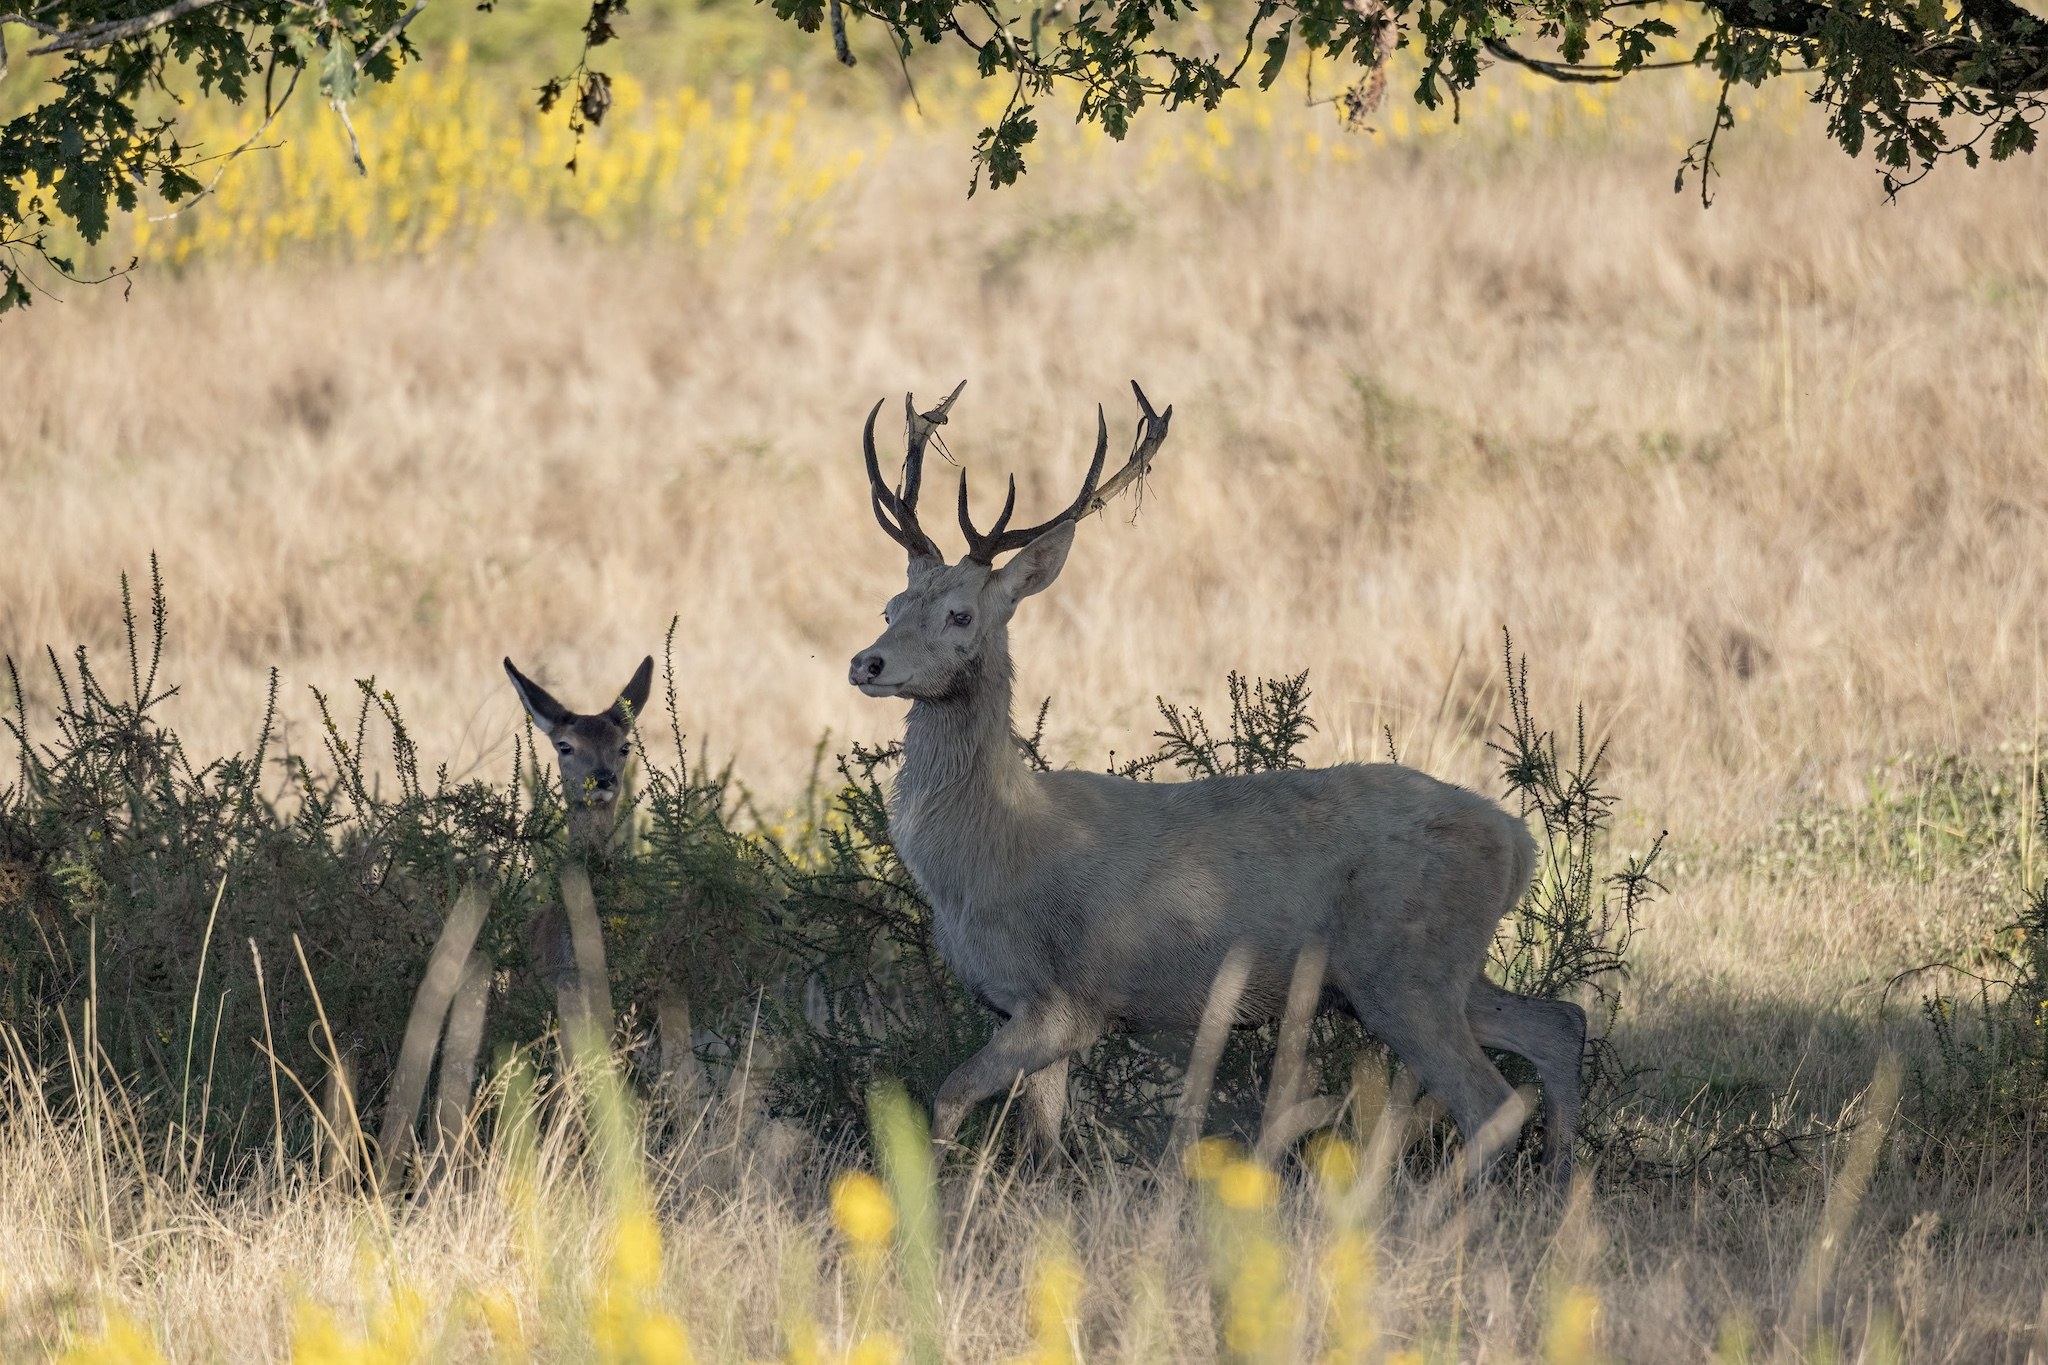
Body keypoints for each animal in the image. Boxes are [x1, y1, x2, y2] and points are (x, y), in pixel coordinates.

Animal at [846, 382, 1589, 1180]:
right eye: (889, 607)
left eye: (960, 614)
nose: (867, 661)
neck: (989, 853)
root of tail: (1517, 843)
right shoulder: (1021, 1005)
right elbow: (1042, 1145)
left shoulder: (1070, 999)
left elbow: (951, 1095)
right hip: (1438, 971)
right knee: (1561, 1022)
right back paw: (1560, 1184)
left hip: (1406, 966)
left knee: (1492, 1101)